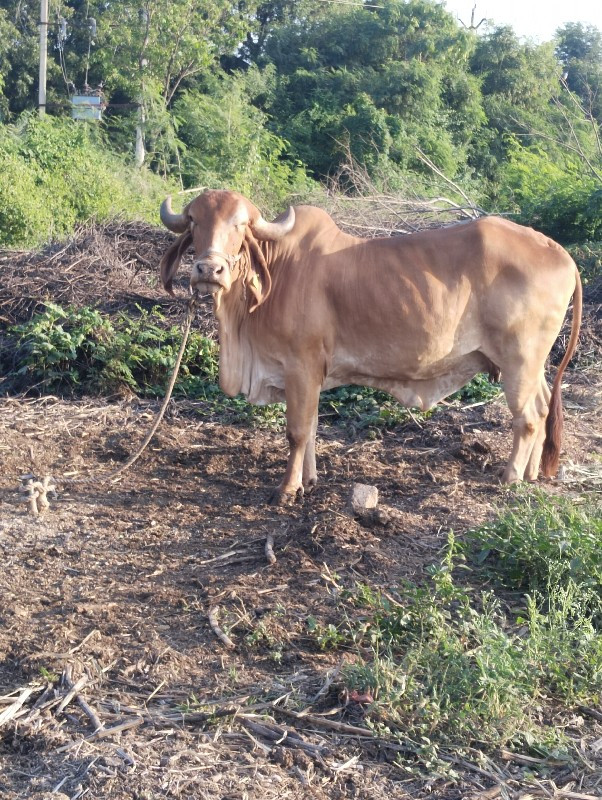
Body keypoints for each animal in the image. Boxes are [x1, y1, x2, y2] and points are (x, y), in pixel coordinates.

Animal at [157, 189, 580, 500]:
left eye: (240, 225)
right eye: (194, 221)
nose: (208, 270)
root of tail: (559, 251)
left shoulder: (300, 366)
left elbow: (297, 431)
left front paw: (288, 489)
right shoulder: (311, 375)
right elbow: (312, 427)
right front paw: (309, 480)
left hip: (519, 360)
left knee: (528, 417)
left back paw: (510, 477)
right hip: (530, 365)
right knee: (544, 407)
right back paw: (531, 473)